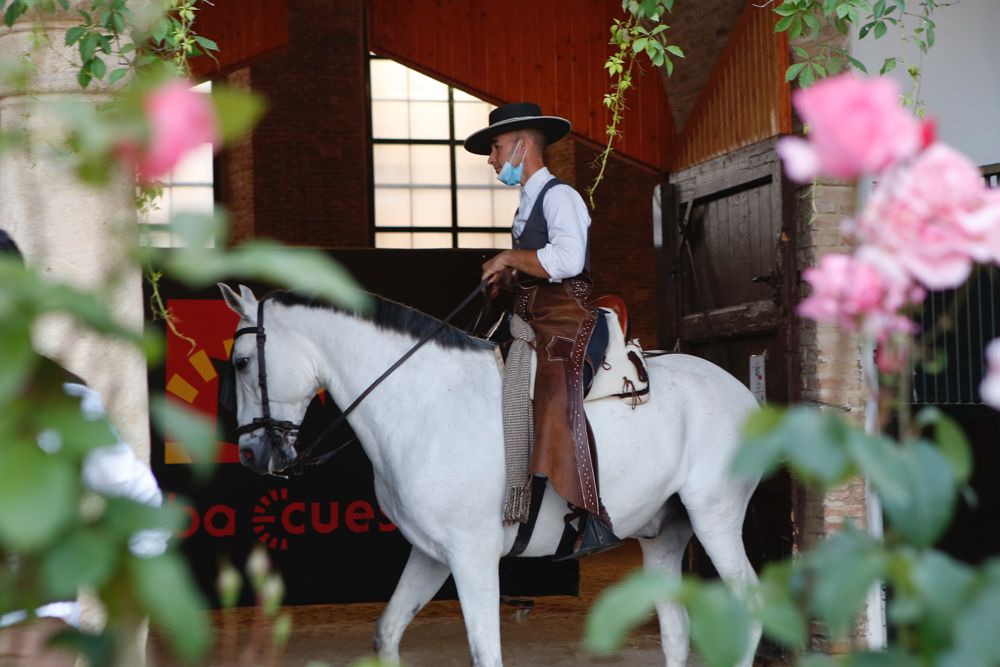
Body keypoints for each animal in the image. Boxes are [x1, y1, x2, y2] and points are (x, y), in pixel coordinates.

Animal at [219, 286, 760, 667]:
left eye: (242, 362)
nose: (249, 452)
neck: (424, 401)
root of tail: (743, 394)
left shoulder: (473, 558)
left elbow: (485, 653)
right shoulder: (430, 554)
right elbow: (387, 633)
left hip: (714, 517)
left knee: (750, 609)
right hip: (663, 537)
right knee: (676, 634)